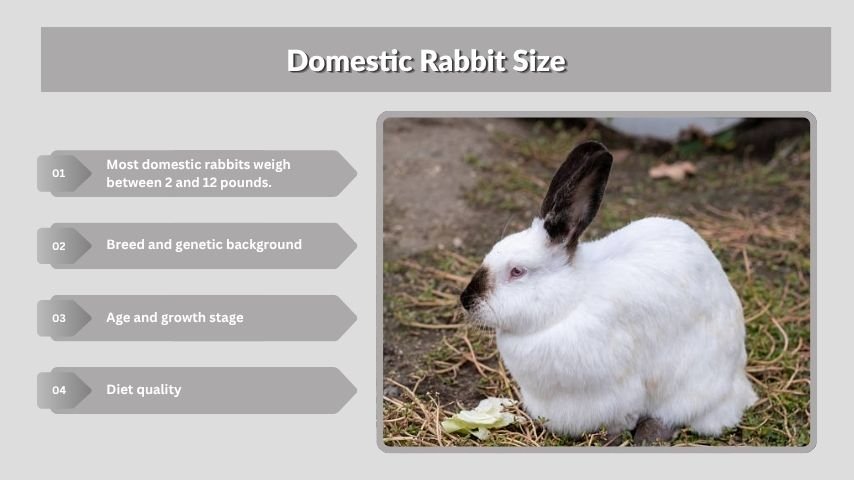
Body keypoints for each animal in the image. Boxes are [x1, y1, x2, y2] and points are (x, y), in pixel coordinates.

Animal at [460, 141, 757, 441]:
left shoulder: (615, 393)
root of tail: (738, 382)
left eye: (517, 271)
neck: (570, 304)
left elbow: (620, 420)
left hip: (689, 382)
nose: (466, 300)